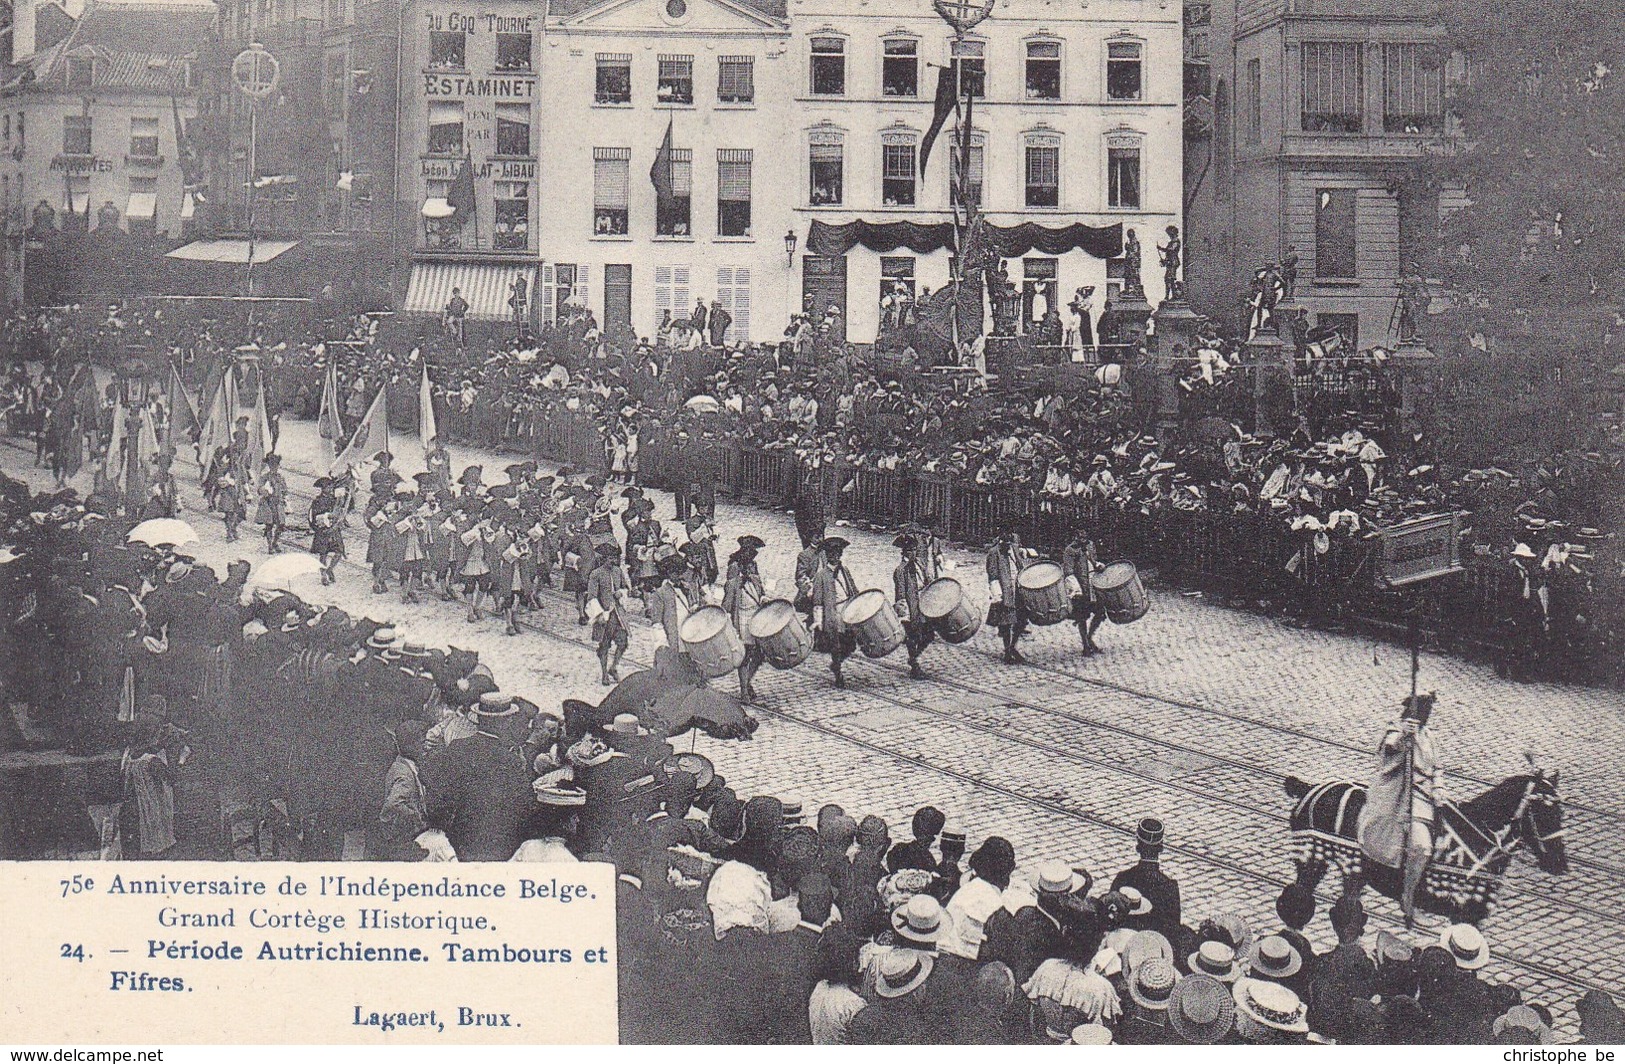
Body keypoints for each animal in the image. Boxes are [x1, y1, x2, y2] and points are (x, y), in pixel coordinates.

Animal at [1287, 766, 1566, 922]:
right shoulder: (1463, 911)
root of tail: (1312, 787)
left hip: (1352, 873)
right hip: (1311, 862)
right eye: (1543, 811)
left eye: (1560, 811)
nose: (1559, 863)